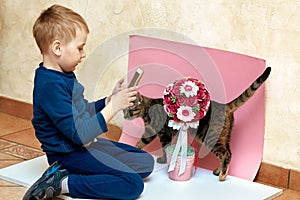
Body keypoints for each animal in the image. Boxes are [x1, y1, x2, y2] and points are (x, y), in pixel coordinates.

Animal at [123, 67, 270, 181]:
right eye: (123, 109)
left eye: (130, 110)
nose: (125, 116)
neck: (147, 109)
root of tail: (223, 105)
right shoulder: (158, 133)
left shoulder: (158, 132)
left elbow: (154, 146)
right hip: (224, 137)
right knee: (229, 153)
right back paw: (219, 170)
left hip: (211, 137)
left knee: (225, 154)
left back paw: (222, 175)